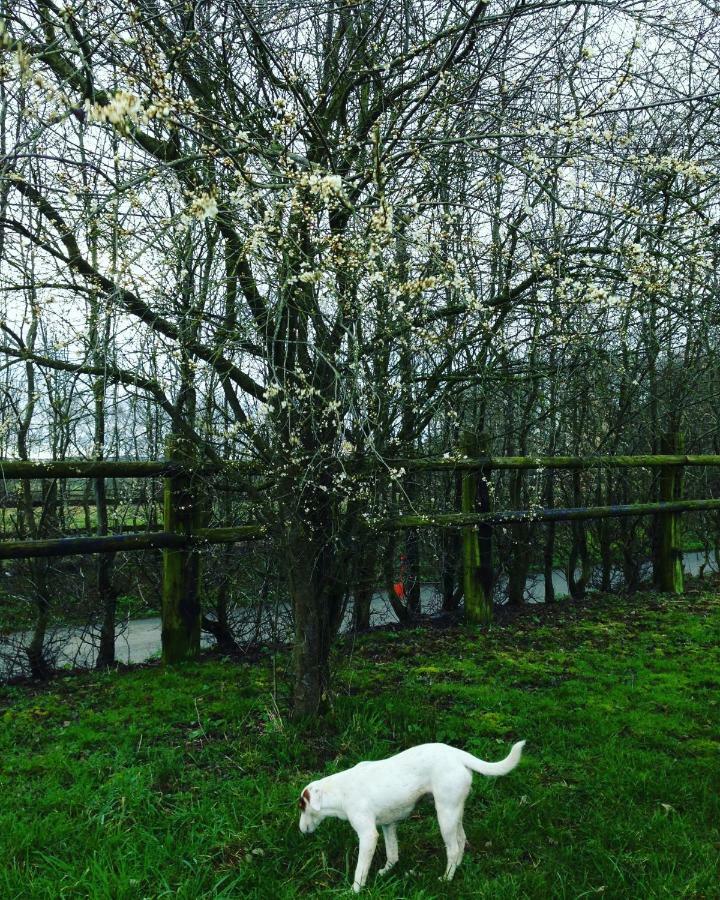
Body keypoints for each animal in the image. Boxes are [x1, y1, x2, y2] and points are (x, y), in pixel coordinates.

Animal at [296, 740, 524, 892]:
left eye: (301, 807)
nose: (299, 830)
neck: (340, 790)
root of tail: (458, 754)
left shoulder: (368, 836)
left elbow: (360, 871)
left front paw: (354, 891)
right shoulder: (388, 826)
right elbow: (392, 854)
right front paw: (385, 872)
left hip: (445, 815)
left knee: (452, 849)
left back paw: (446, 879)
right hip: (454, 812)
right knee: (461, 840)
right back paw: (457, 869)